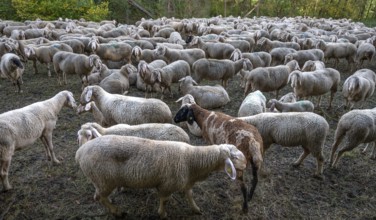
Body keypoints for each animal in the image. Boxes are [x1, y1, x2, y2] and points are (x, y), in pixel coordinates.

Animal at [76, 136, 247, 218]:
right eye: (234, 157)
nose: (246, 163)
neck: (192, 160)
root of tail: (80, 152)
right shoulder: (167, 185)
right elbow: (164, 200)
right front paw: (162, 214)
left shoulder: (185, 181)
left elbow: (190, 195)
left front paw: (196, 209)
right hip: (104, 179)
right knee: (99, 197)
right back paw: (117, 212)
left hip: (101, 180)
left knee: (100, 196)